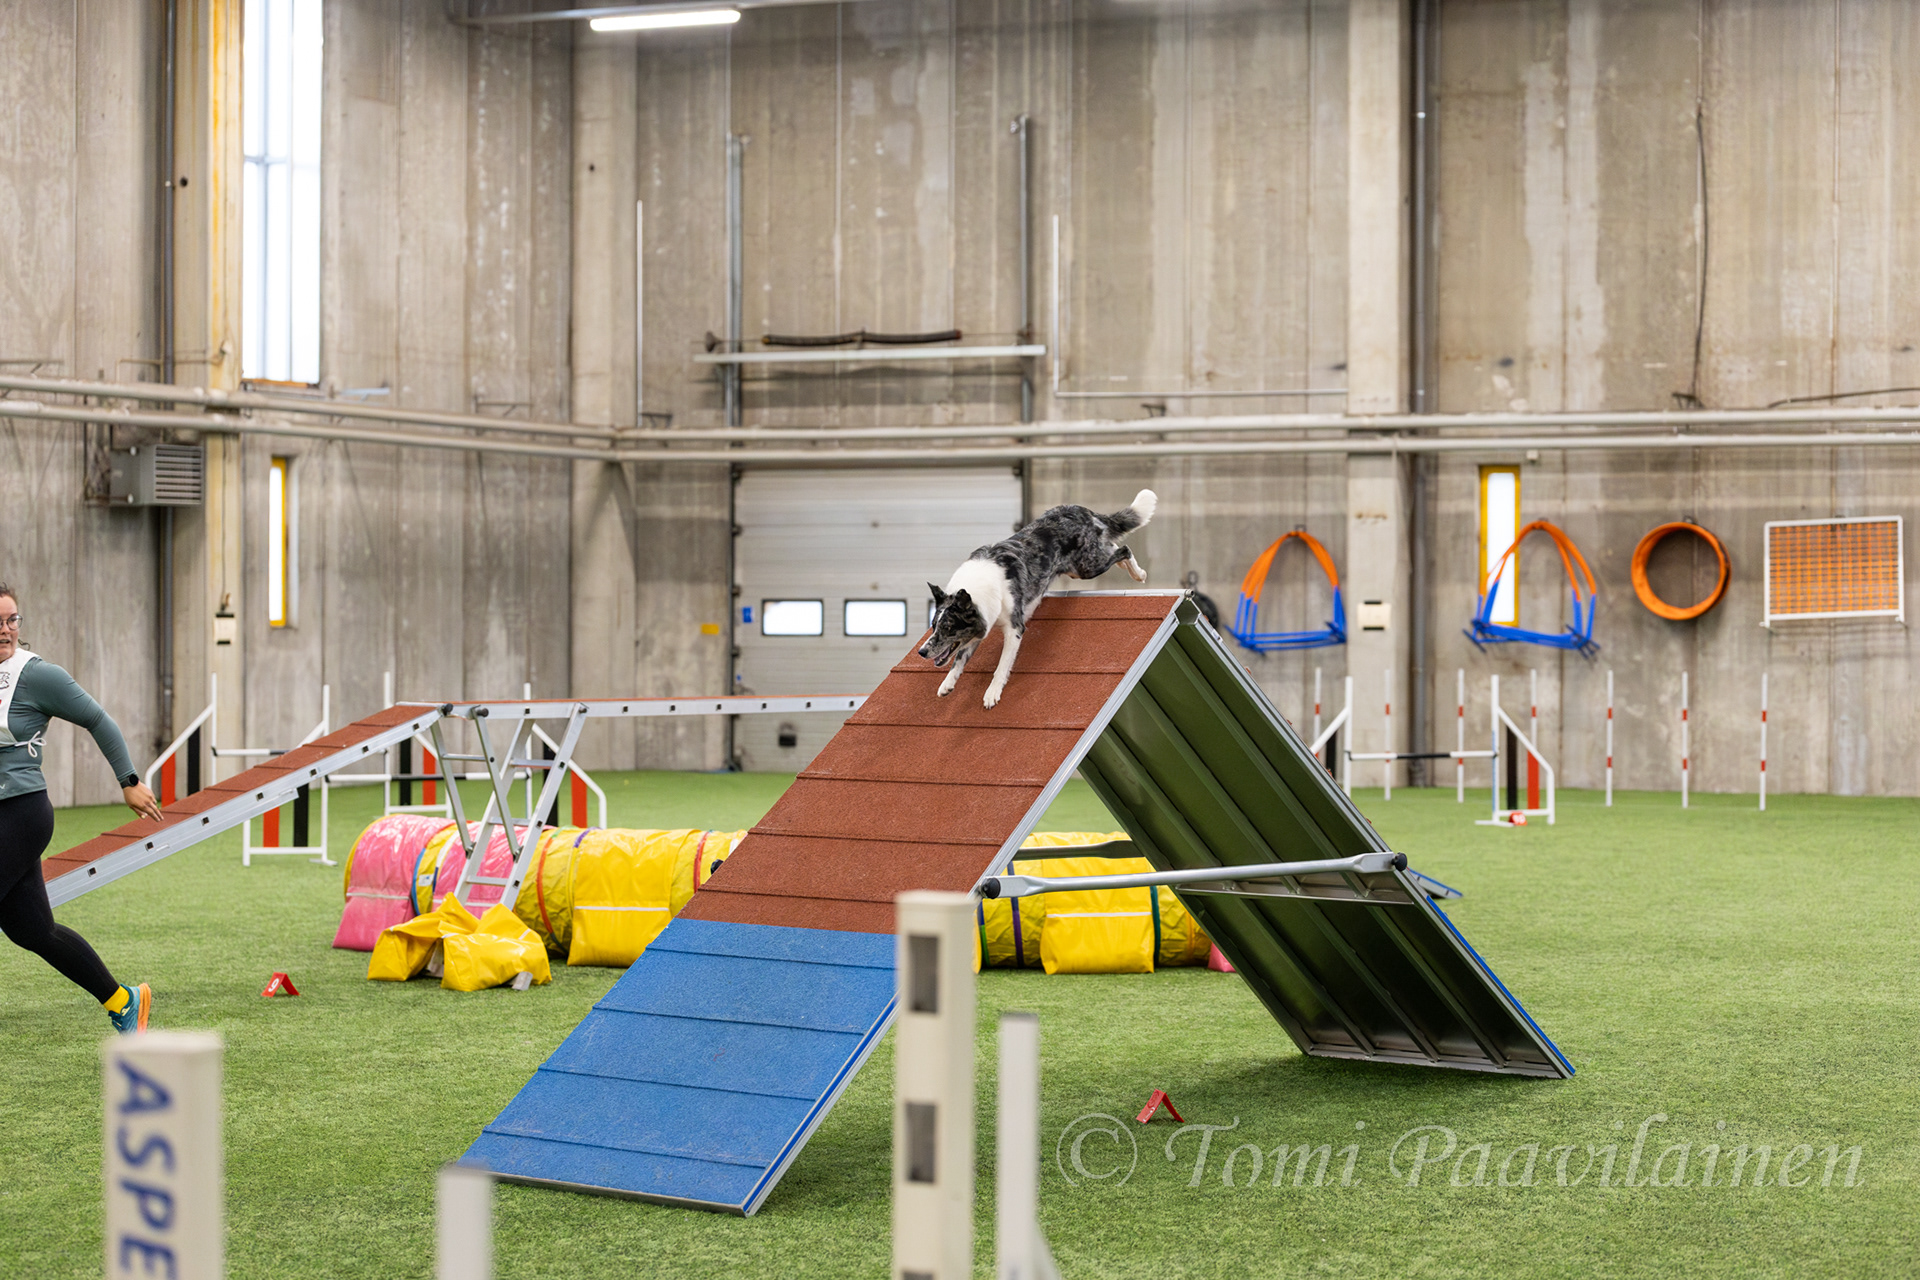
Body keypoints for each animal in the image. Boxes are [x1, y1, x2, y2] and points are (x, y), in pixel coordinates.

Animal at [919, 489, 1157, 708]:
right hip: (1082, 566)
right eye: (933, 626)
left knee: (1124, 549)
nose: (922, 652)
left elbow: (1001, 666)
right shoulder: (981, 625)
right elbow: (958, 658)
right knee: (1113, 547)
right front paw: (947, 684)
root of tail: (1083, 510)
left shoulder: (1014, 629)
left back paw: (1140, 574)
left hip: (1086, 568)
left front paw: (992, 694)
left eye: (948, 627)